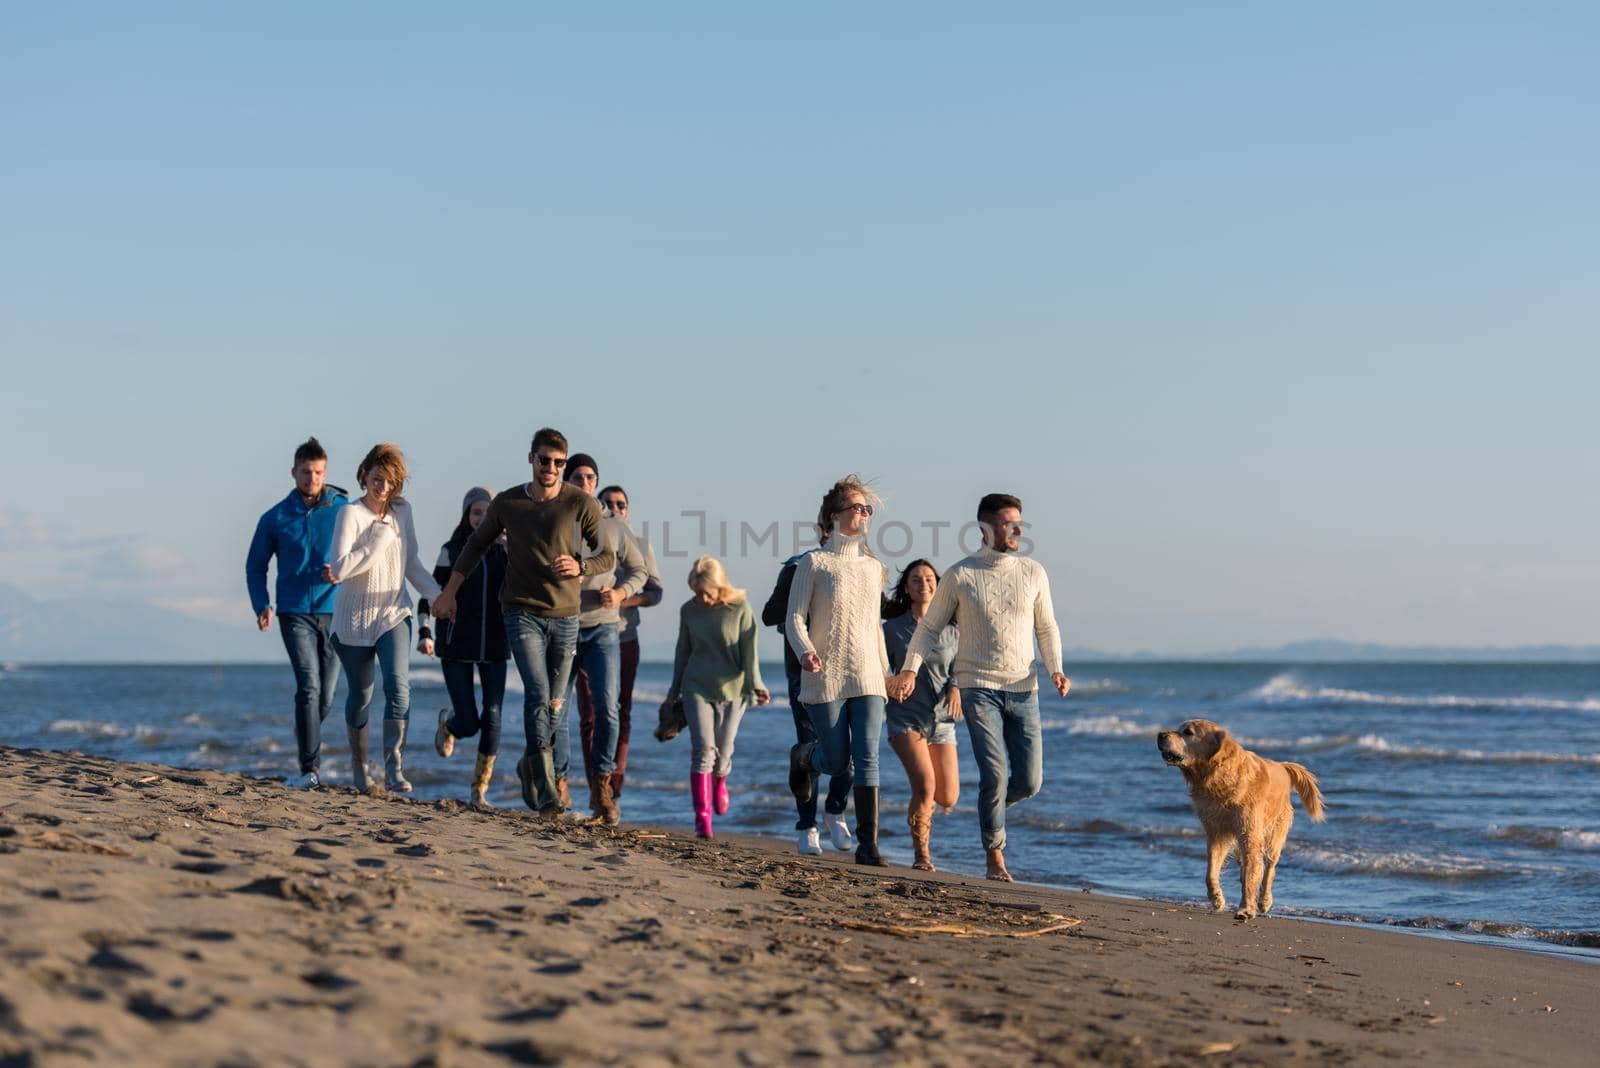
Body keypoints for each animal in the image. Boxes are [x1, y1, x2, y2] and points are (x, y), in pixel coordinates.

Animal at [1152, 716, 1324, 920]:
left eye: (1188, 732)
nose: (1160, 734)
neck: (1216, 776)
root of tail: (1283, 766)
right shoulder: (1217, 832)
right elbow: (1211, 871)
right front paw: (1217, 898)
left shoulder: (1249, 833)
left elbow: (1253, 874)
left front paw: (1246, 909)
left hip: (1275, 835)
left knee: (1269, 868)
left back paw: (1264, 901)